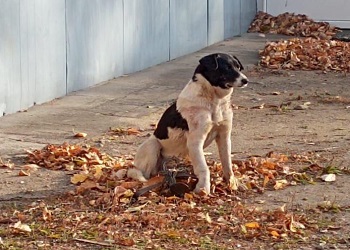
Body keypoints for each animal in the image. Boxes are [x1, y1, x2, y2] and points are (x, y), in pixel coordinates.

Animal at [129, 52, 249, 193]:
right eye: (227, 67)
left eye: (238, 67)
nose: (246, 80)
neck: (214, 100)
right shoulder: (195, 141)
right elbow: (204, 168)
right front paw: (203, 188)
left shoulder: (224, 137)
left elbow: (227, 164)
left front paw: (233, 183)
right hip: (152, 145)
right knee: (147, 174)